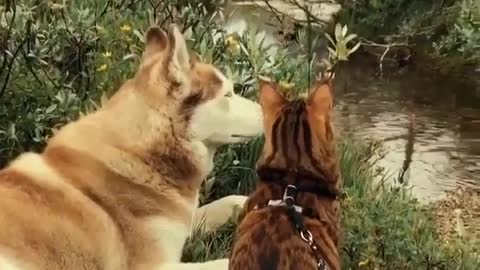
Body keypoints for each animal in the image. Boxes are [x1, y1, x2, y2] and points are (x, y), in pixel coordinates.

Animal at [0, 24, 260, 268]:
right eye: (228, 94)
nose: (268, 108)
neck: (141, 155)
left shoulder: (181, 222)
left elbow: (233, 199)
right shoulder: (154, 266)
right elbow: (225, 262)